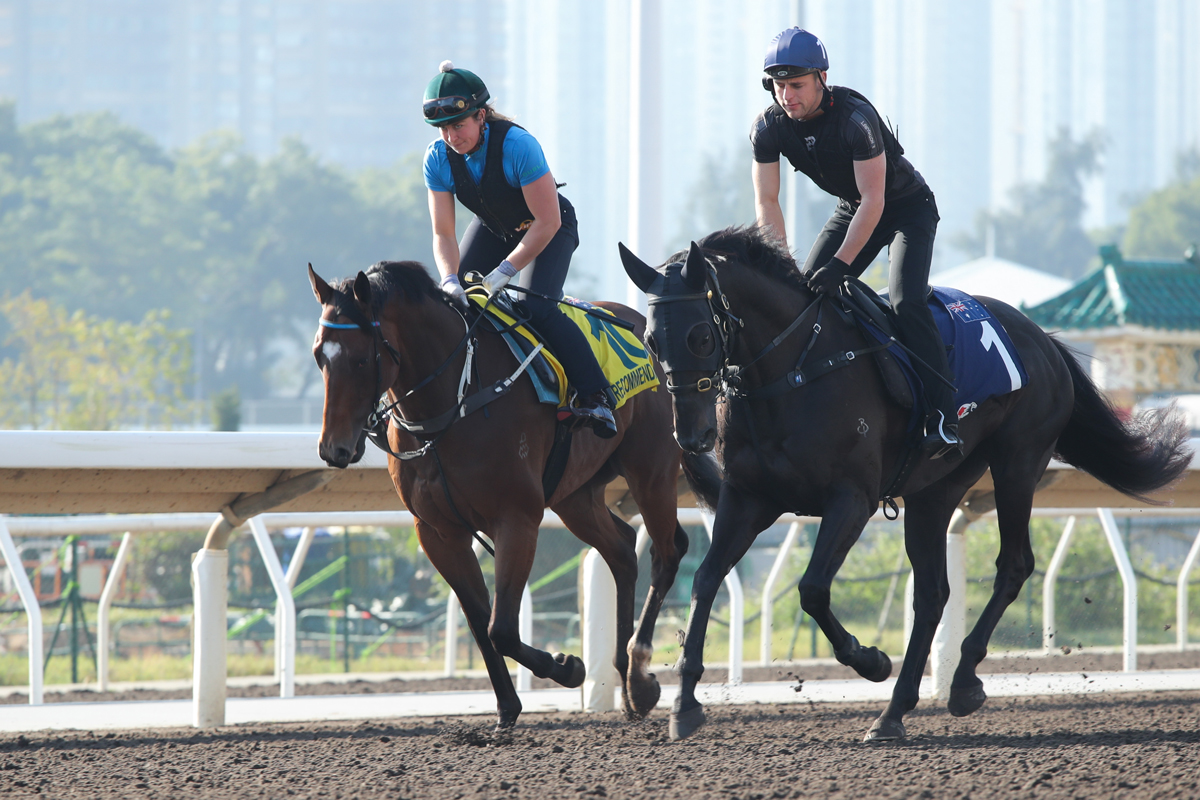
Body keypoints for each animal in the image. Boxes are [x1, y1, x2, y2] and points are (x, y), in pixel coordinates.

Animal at [312, 260, 700, 729]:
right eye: (319, 356)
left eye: (361, 357)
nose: (334, 449)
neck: (453, 403)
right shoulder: (437, 533)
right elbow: (480, 622)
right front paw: (506, 708)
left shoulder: (516, 518)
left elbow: (501, 628)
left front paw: (568, 667)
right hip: (575, 495)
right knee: (624, 550)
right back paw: (624, 679)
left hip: (652, 472)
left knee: (667, 551)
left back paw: (640, 681)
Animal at [619, 227, 1190, 743]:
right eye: (649, 340)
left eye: (700, 336)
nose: (692, 436)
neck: (793, 371)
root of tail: (1041, 339)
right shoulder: (749, 498)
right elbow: (706, 579)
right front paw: (684, 703)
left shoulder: (851, 499)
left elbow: (811, 589)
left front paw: (869, 659)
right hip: (934, 491)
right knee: (933, 592)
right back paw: (894, 713)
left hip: (1018, 463)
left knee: (1013, 565)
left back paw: (961, 682)